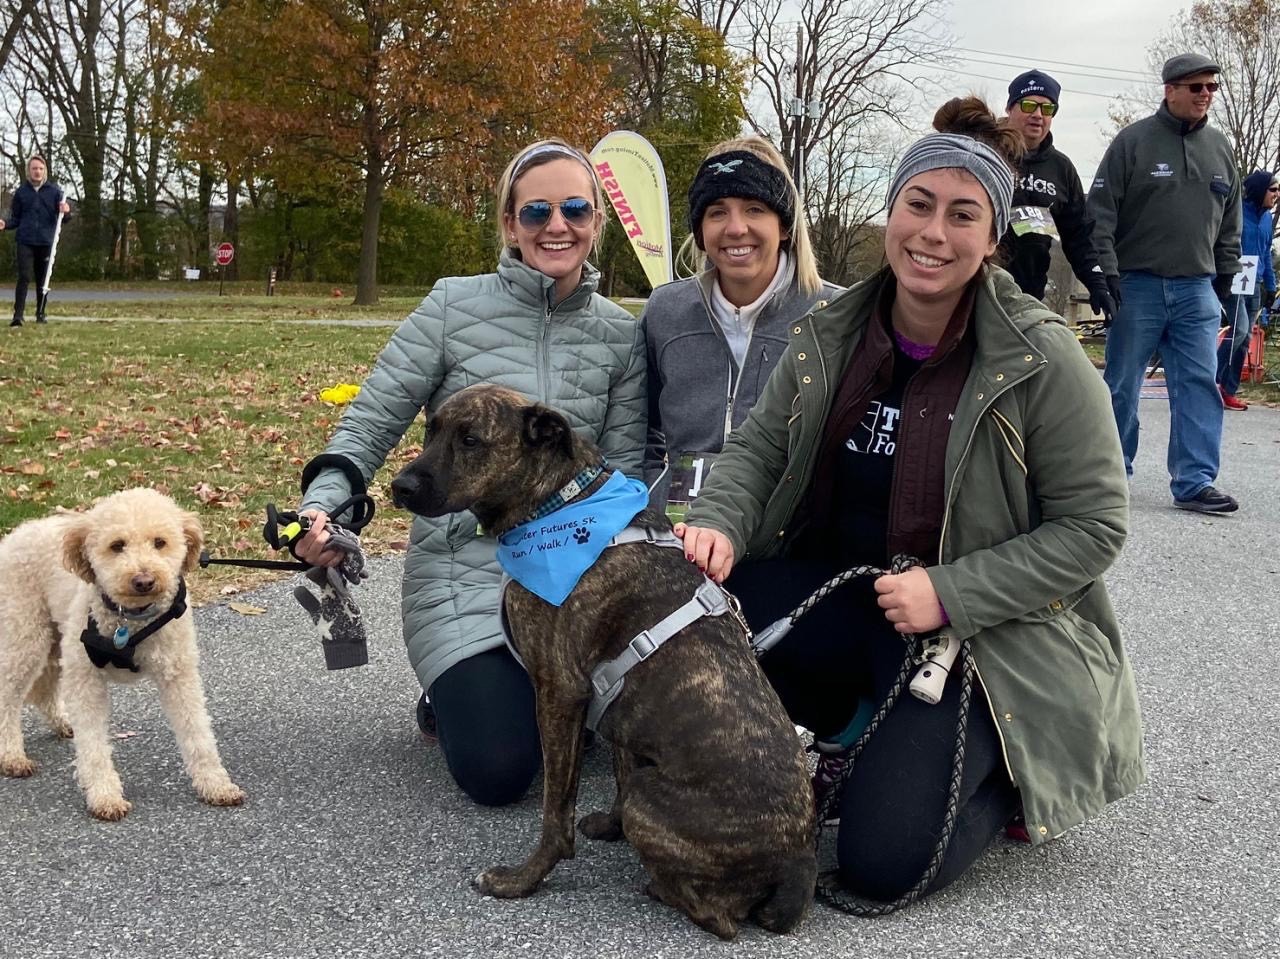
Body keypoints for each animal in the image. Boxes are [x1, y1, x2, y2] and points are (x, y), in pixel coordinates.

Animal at [0, 489, 244, 819]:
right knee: (8, 698)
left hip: (53, 638)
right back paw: (11, 755)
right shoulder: (86, 679)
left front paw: (215, 784)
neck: (130, 619)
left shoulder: (178, 674)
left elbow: (198, 733)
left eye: (160, 542)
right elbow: (93, 745)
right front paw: (104, 795)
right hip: (25, 637)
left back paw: (62, 721)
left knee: (44, 689)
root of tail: (20, 531)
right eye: (117, 545)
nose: (144, 581)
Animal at [389, 381, 814, 937]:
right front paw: (608, 826)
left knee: (720, 919)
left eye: (472, 440)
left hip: (649, 802)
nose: (398, 487)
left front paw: (521, 881)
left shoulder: (559, 693)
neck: (557, 503)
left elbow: (556, 812)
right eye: (431, 429)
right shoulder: (610, 701)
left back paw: (659, 887)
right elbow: (618, 767)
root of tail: (799, 860)